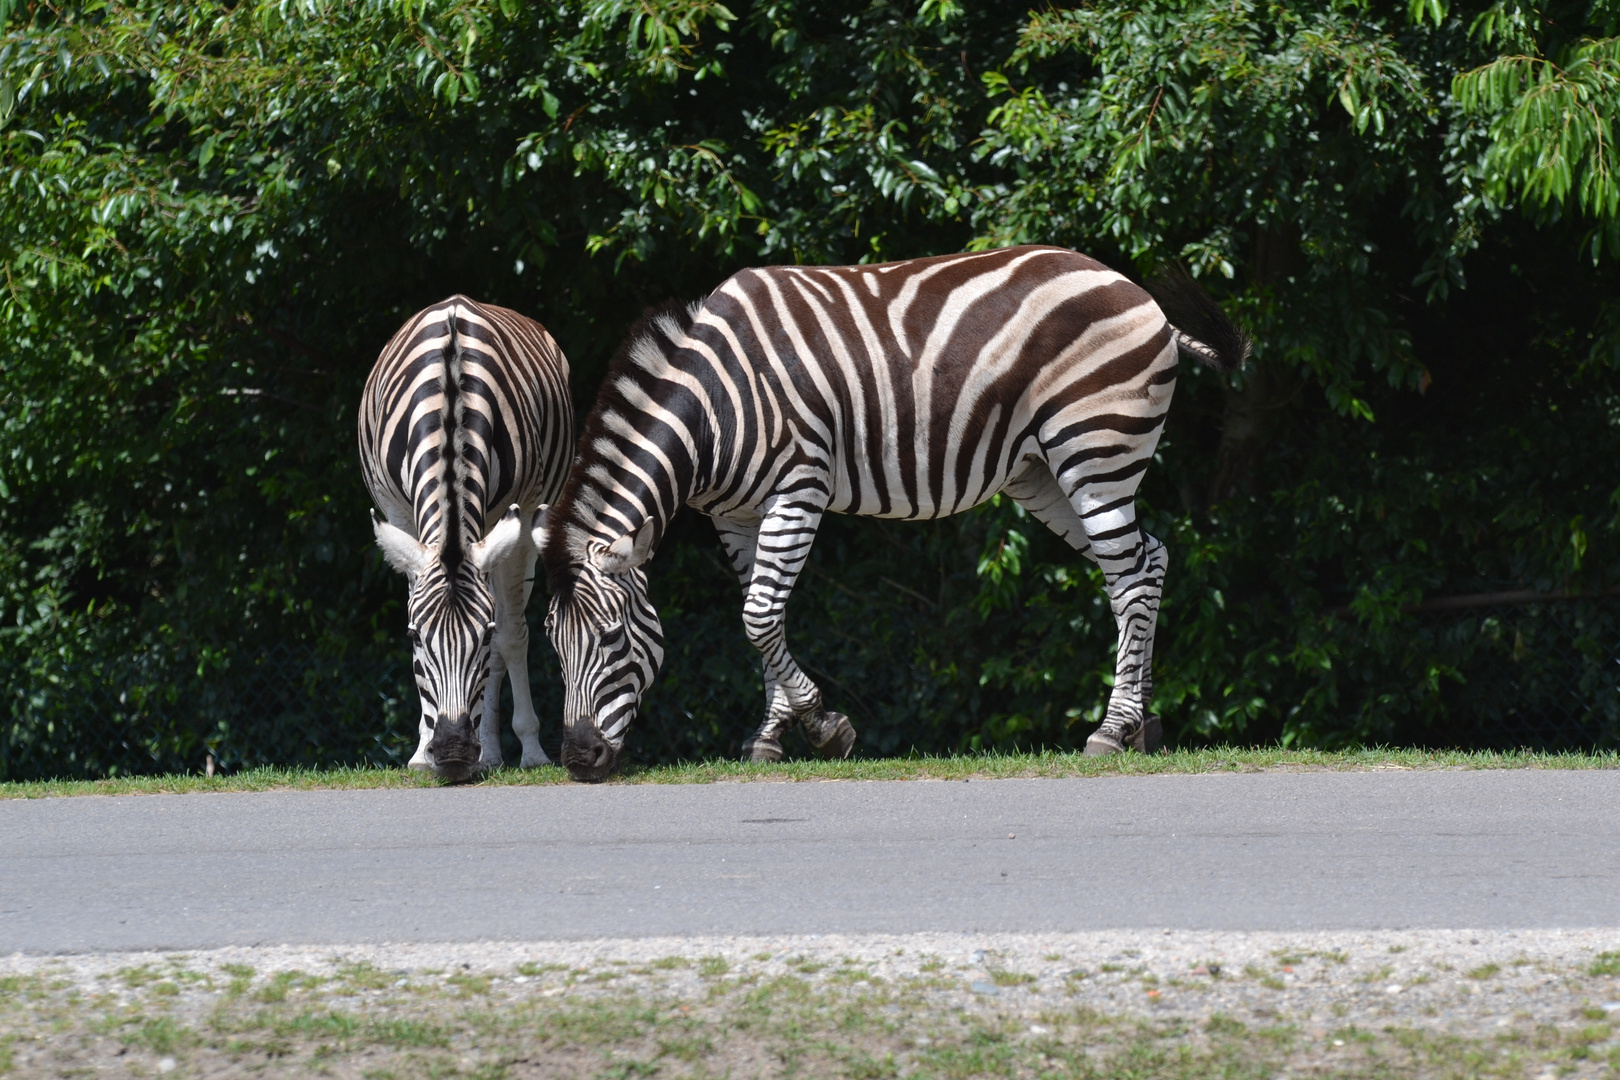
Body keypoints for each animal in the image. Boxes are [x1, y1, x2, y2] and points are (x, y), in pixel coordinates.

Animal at [358, 299, 573, 780]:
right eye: (416, 637)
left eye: (482, 633)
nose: (454, 753)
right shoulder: (399, 514)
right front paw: (421, 752)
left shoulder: (522, 514)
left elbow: (508, 637)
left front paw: (532, 750)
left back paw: (492, 751)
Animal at [537, 247, 1244, 780]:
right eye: (551, 642)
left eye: (612, 638)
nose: (578, 760)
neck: (714, 411)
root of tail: (1140, 296)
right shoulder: (735, 516)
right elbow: (760, 616)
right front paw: (772, 734)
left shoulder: (799, 487)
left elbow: (759, 616)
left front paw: (825, 728)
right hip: (1042, 472)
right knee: (1148, 561)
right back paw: (1144, 724)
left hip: (1093, 448)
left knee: (1129, 578)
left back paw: (1112, 728)